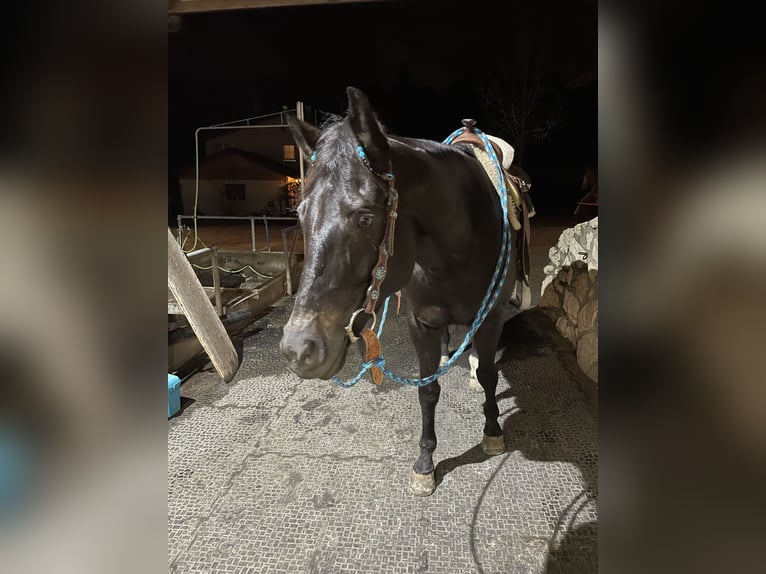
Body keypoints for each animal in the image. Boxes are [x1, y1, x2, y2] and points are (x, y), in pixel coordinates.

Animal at [280, 86, 523, 496]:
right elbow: (427, 391)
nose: (299, 349)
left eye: (365, 216)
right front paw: (425, 462)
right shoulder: (420, 322)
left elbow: (491, 375)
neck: (459, 245)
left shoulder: (491, 316)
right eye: (300, 214)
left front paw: (492, 432)